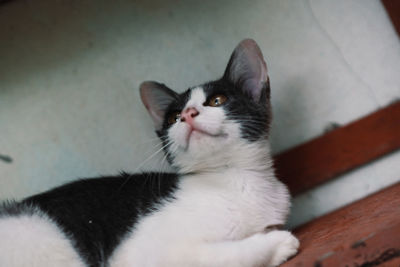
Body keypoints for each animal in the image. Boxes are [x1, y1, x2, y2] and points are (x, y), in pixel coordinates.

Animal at [0, 39, 296, 267]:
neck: (234, 178)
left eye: (217, 100)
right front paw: (278, 243)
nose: (187, 114)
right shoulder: (142, 254)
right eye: (174, 117)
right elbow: (216, 256)